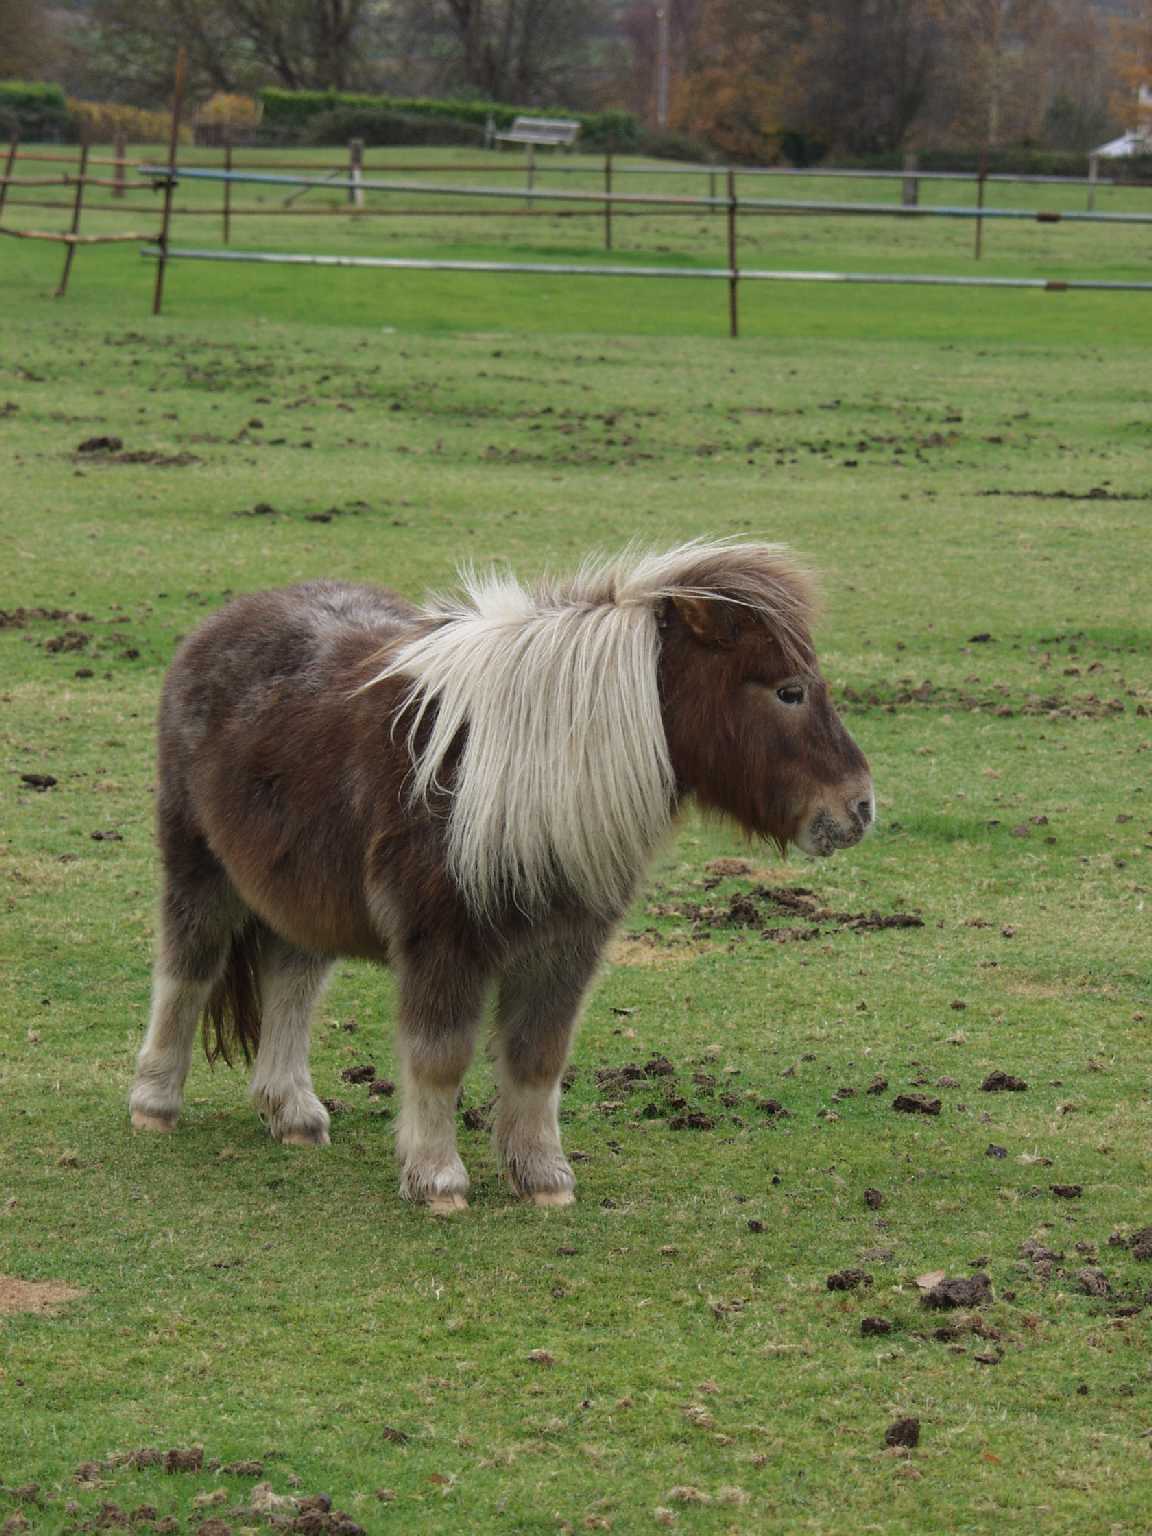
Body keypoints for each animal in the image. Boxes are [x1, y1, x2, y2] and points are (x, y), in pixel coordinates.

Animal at [128, 540, 874, 1212]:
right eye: (788, 691)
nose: (860, 808)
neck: (525, 773)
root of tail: (223, 624)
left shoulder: (567, 945)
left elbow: (538, 1057)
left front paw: (543, 1178)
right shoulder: (442, 941)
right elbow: (440, 1057)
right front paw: (437, 1182)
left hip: (302, 892)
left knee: (291, 983)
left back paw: (293, 1115)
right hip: (199, 868)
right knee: (187, 972)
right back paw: (155, 1104)